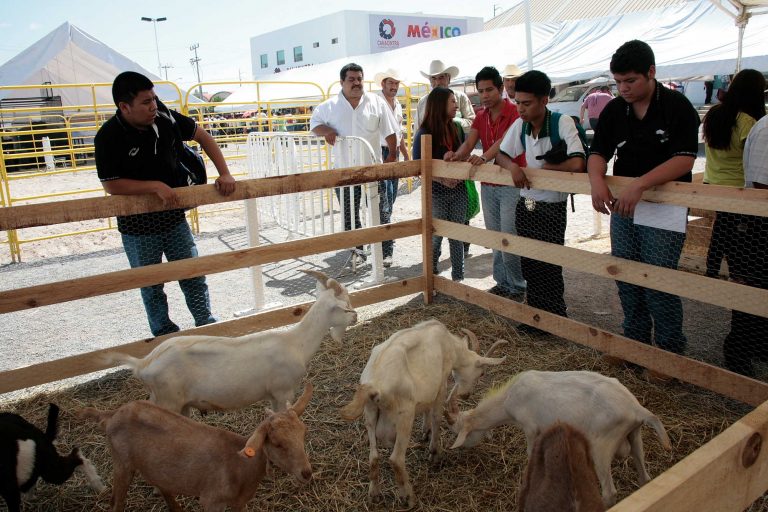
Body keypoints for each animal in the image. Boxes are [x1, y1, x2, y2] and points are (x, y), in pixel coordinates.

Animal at [80, 384, 312, 512]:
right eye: (278, 443)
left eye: (303, 433)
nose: (307, 473)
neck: (241, 465)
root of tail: (111, 414)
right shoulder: (211, 502)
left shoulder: (239, 503)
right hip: (122, 464)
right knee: (115, 503)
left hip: (150, 465)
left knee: (161, 485)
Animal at [105, 270, 356, 414]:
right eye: (345, 304)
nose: (355, 317)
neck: (296, 342)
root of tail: (143, 364)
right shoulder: (283, 391)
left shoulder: (273, 395)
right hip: (169, 401)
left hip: (175, 402)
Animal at [340, 320, 508, 508]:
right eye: (482, 373)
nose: (466, 395)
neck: (449, 342)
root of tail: (374, 386)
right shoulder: (442, 381)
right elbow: (436, 416)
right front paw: (434, 453)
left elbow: (428, 407)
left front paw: (425, 432)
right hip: (404, 416)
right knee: (396, 460)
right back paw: (408, 498)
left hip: (369, 415)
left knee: (373, 456)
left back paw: (374, 495)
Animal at [448, 370, 668, 506]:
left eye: (457, 432)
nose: (460, 452)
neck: (507, 399)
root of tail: (636, 409)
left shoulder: (530, 428)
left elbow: (530, 452)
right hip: (635, 435)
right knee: (645, 478)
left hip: (602, 447)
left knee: (610, 493)